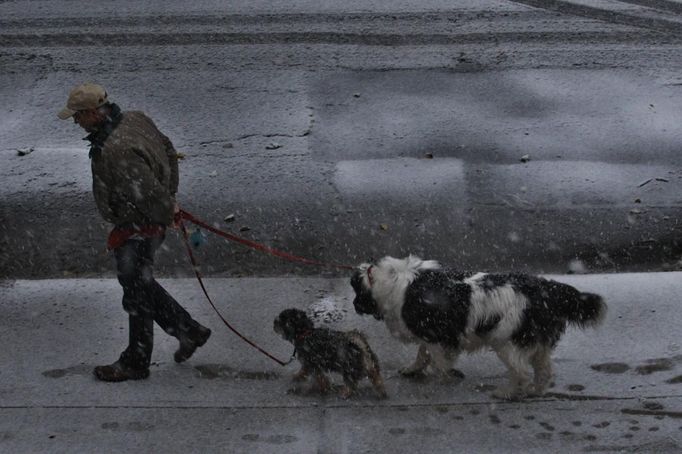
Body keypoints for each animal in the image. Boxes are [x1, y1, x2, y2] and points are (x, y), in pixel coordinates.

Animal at [350, 255, 604, 400]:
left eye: (355, 293)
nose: (353, 305)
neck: (388, 279)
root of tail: (548, 289)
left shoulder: (436, 337)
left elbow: (439, 361)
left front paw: (447, 377)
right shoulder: (430, 335)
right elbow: (423, 355)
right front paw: (413, 369)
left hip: (506, 343)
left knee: (521, 372)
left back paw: (507, 393)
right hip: (538, 342)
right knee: (544, 371)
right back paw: (534, 391)